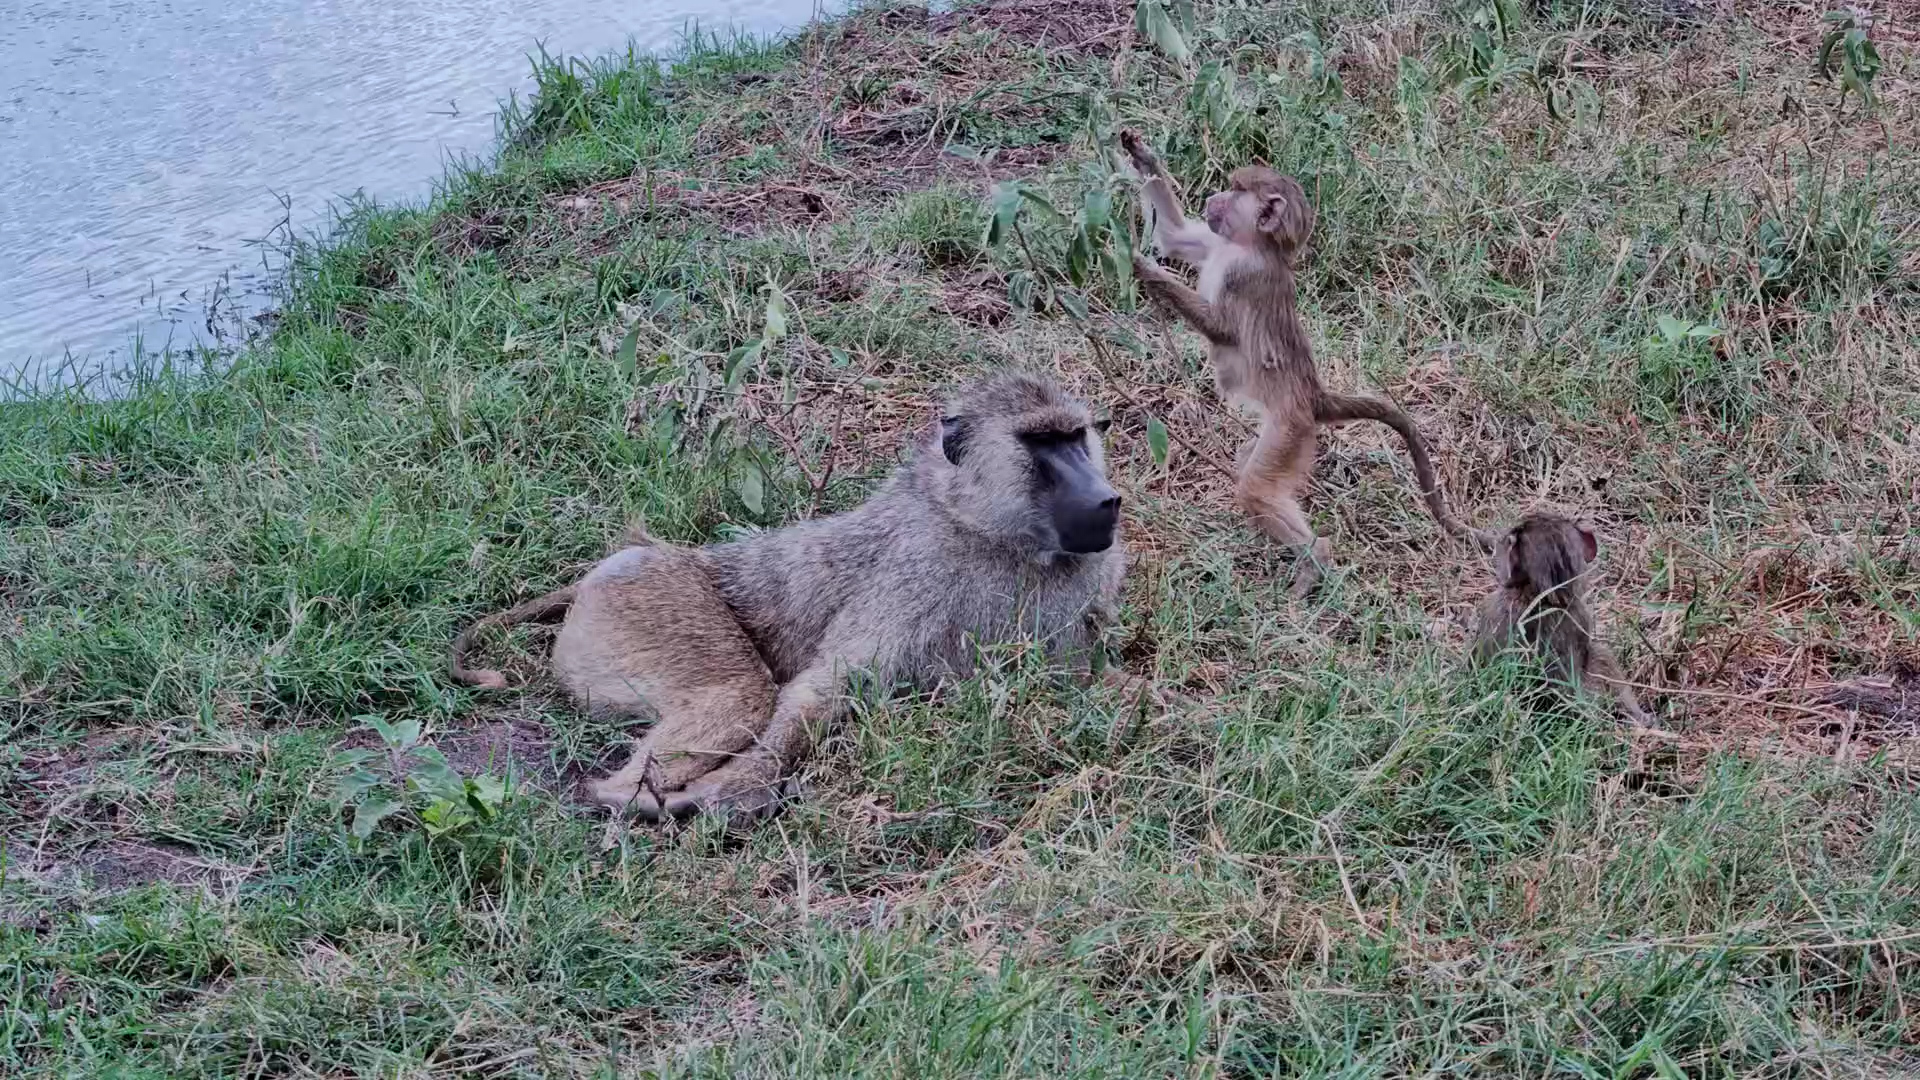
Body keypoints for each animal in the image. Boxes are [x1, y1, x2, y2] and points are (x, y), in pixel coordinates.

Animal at [449, 370, 1129, 822]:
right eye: (1040, 444)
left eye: (1076, 437)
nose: (1105, 499)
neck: (985, 528)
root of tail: (626, 562)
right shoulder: (916, 569)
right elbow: (826, 689)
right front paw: (730, 793)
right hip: (642, 601)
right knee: (741, 695)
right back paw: (626, 795)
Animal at [1119, 130, 1487, 596]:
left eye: (1236, 190)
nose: (1213, 198)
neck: (1247, 246)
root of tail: (1314, 396)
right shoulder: (1216, 243)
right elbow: (1174, 234)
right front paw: (1139, 152)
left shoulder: (1245, 276)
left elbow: (1221, 329)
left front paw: (1136, 261)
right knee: (1251, 467)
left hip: (1289, 428)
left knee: (1256, 489)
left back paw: (1316, 560)